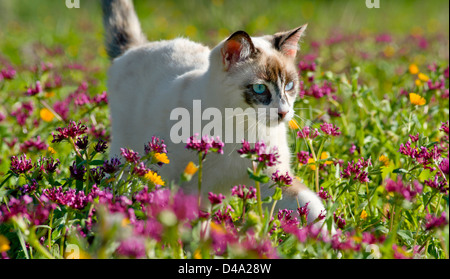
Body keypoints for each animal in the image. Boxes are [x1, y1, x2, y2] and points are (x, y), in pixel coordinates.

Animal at [102, 0, 330, 230]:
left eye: (289, 86)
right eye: (259, 89)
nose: (283, 112)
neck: (242, 127)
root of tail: (138, 47)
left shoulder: (273, 180)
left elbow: (313, 208)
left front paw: (329, 237)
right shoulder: (191, 189)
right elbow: (192, 226)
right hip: (126, 156)